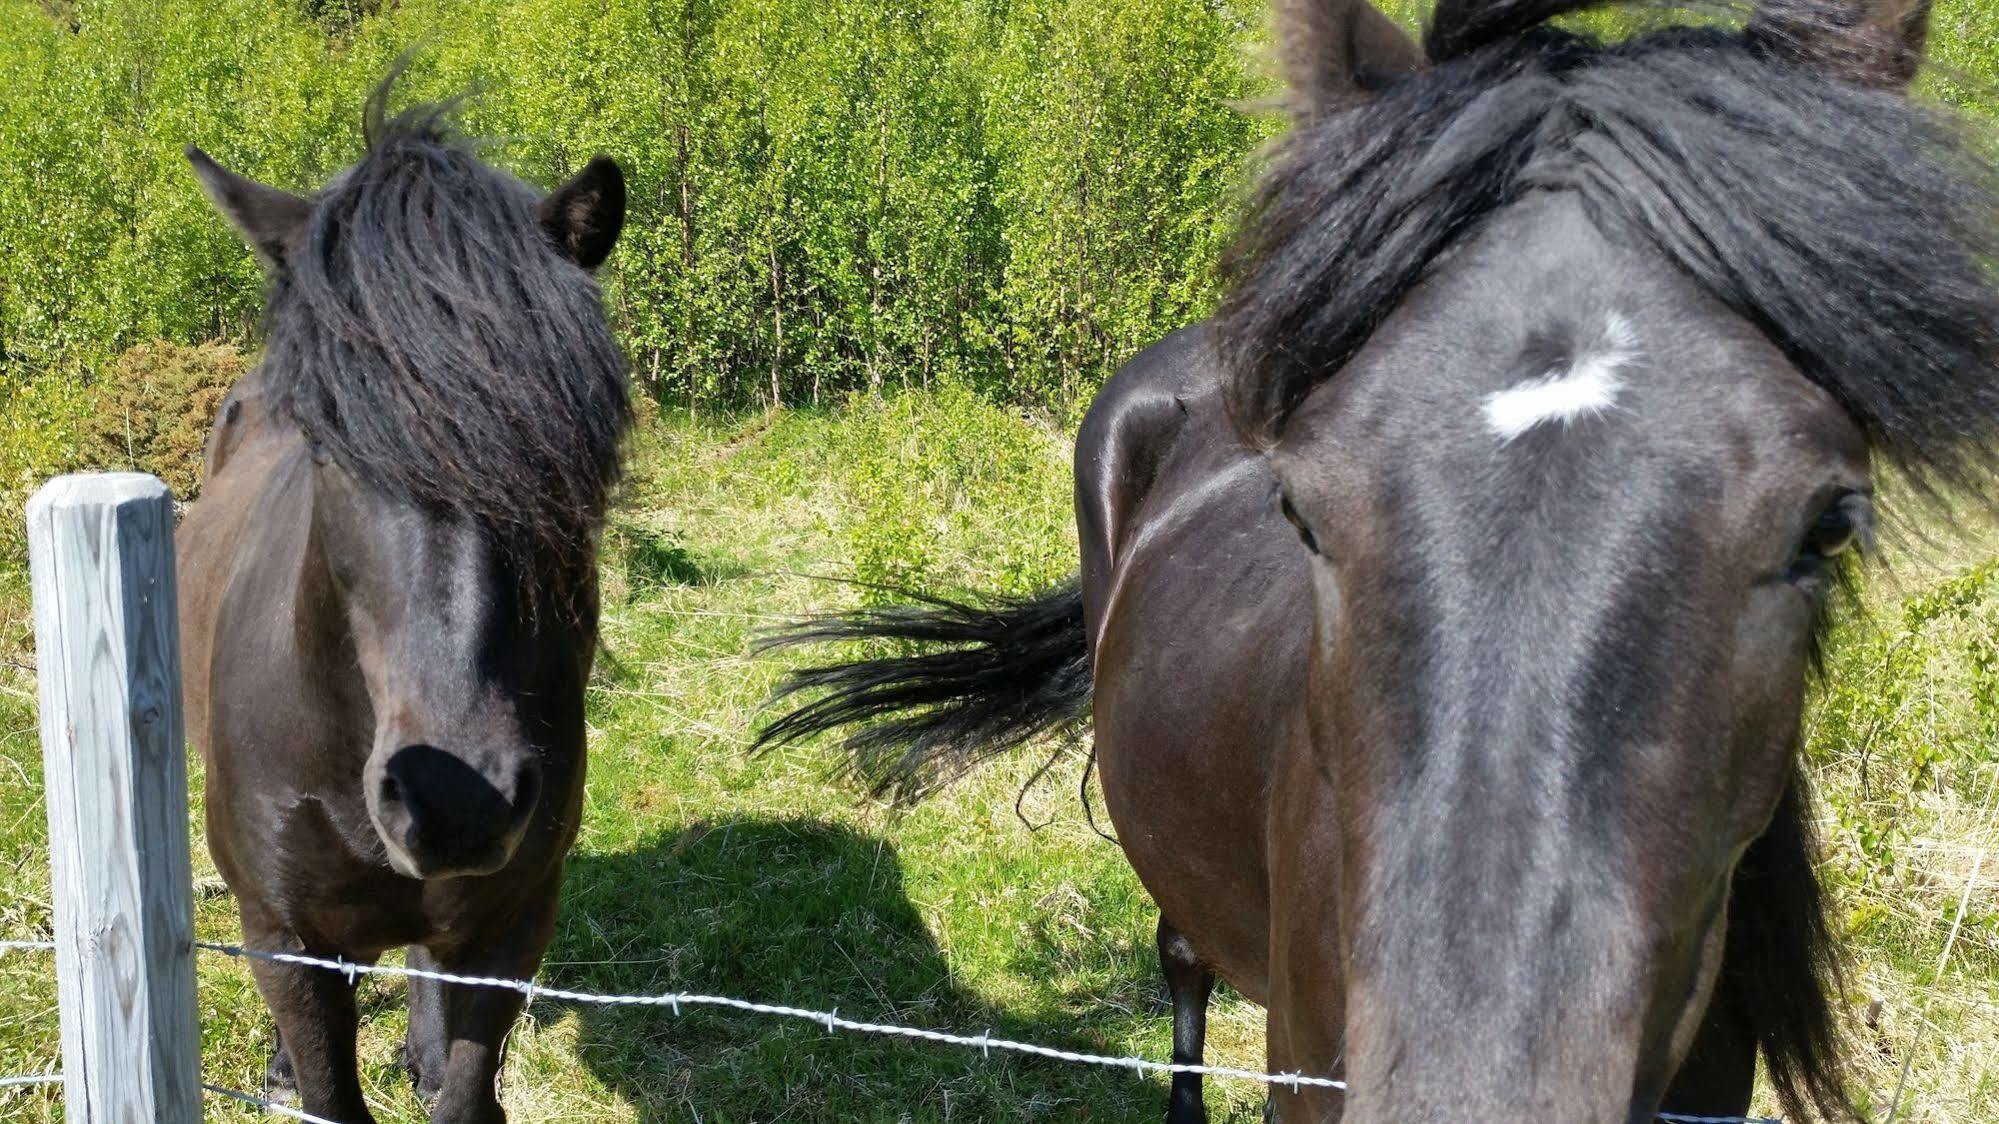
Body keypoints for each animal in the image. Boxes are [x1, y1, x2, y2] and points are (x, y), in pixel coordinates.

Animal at [185, 81, 631, 1120]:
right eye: (323, 439)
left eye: (572, 446)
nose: (456, 799)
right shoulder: (285, 942)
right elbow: (326, 1088)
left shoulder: (512, 927)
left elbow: (467, 1088)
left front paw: (438, 1063)